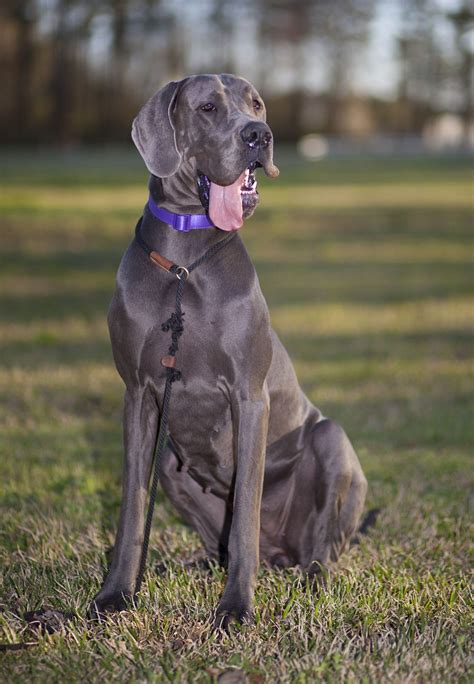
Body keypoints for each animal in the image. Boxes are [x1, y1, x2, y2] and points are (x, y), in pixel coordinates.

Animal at [90, 75, 368, 632]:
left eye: (256, 104)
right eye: (208, 108)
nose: (259, 134)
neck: (185, 261)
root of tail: (281, 552)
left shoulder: (249, 395)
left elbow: (243, 518)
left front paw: (235, 607)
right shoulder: (139, 395)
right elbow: (132, 507)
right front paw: (116, 595)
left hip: (330, 442)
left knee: (322, 544)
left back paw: (313, 576)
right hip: (171, 464)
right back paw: (197, 562)